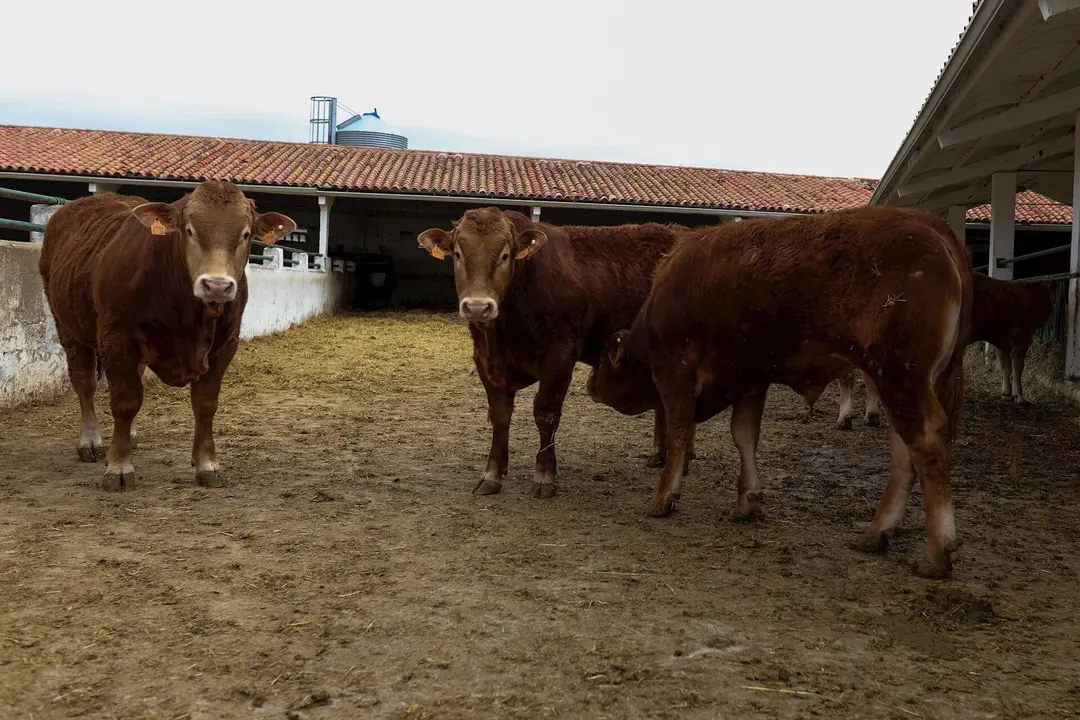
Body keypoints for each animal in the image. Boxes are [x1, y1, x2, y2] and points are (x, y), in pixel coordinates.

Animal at [39, 181, 296, 491]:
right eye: (190, 230)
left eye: (246, 234)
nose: (217, 285)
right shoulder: (117, 339)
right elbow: (124, 401)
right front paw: (119, 467)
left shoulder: (226, 344)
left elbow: (205, 404)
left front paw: (207, 464)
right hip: (68, 327)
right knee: (84, 384)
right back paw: (91, 442)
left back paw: (130, 435)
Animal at [417, 208, 689, 498]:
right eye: (458, 253)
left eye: (505, 254)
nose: (478, 307)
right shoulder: (485, 361)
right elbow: (500, 416)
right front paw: (492, 475)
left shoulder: (559, 357)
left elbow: (546, 415)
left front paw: (544, 476)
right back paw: (661, 455)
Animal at [586, 206, 973, 578]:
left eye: (603, 361)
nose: (590, 385)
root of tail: (930, 224)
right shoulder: (751, 378)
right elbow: (743, 434)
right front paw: (747, 500)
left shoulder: (675, 374)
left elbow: (678, 434)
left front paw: (664, 496)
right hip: (898, 384)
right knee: (904, 452)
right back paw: (876, 533)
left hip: (900, 377)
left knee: (924, 444)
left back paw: (938, 551)